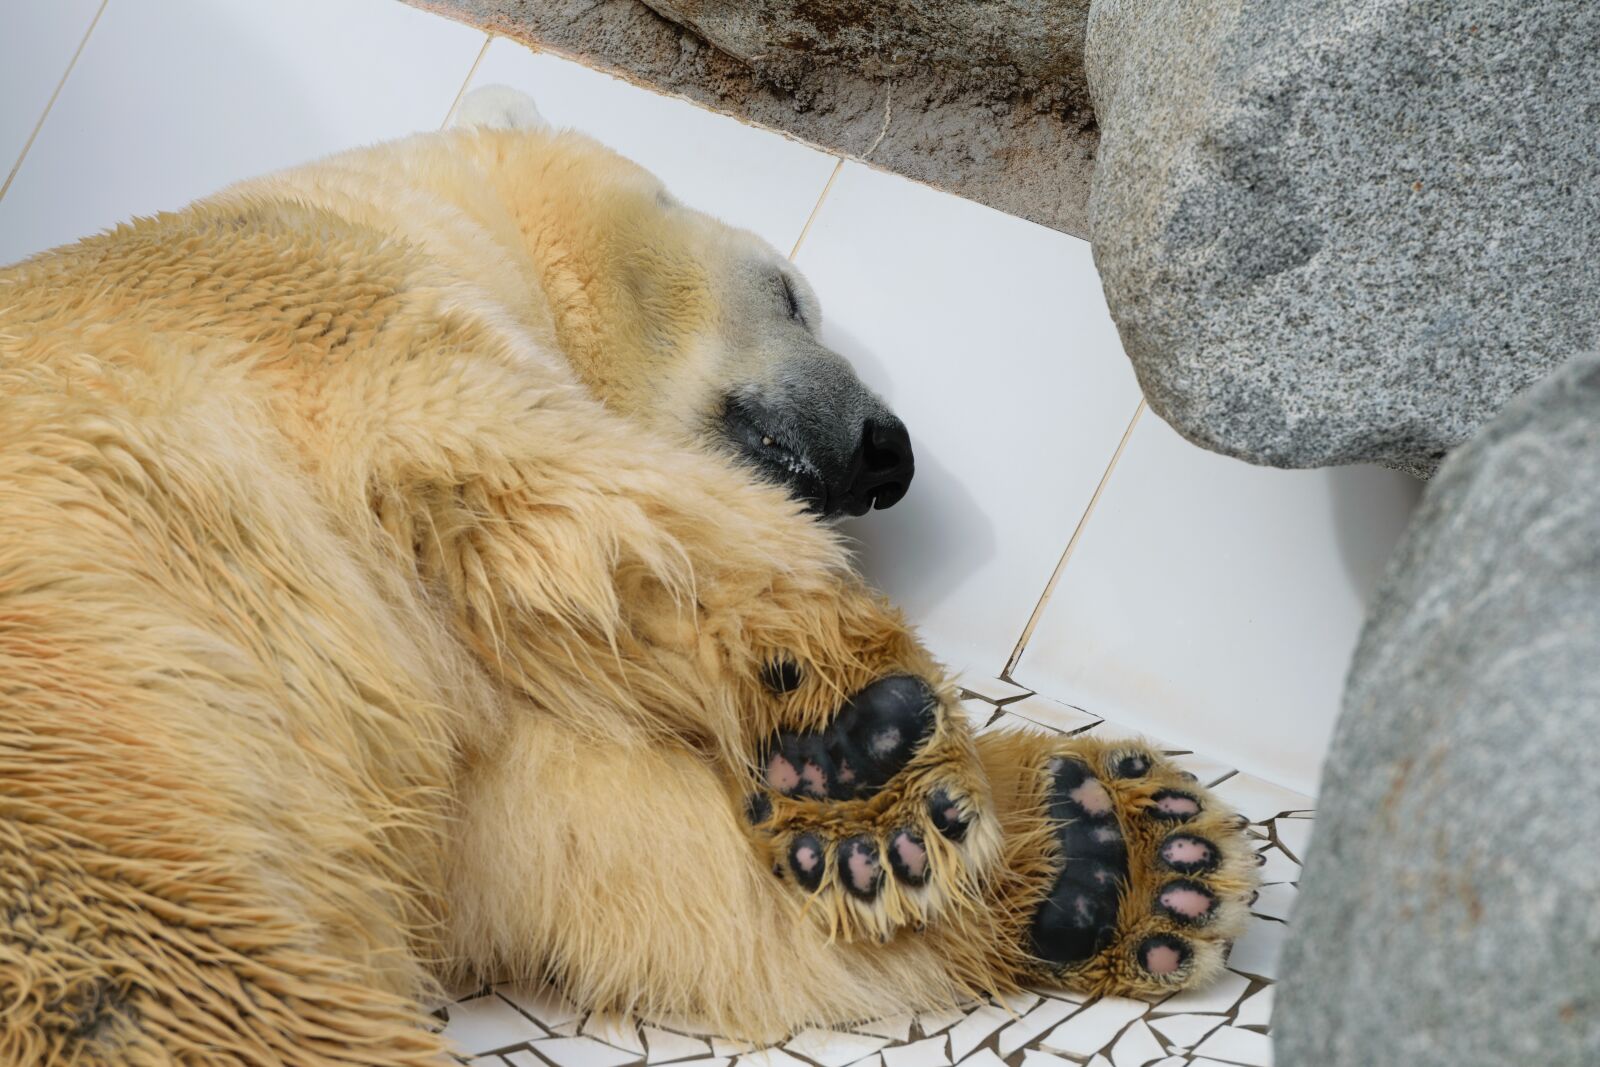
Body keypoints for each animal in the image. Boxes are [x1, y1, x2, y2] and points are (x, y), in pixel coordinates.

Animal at [0, 86, 1257, 1064]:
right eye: (787, 291)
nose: (887, 449)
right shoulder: (335, 317)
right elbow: (600, 495)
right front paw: (868, 747)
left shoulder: (452, 714)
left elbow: (595, 837)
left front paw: (1103, 846)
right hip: (96, 785)